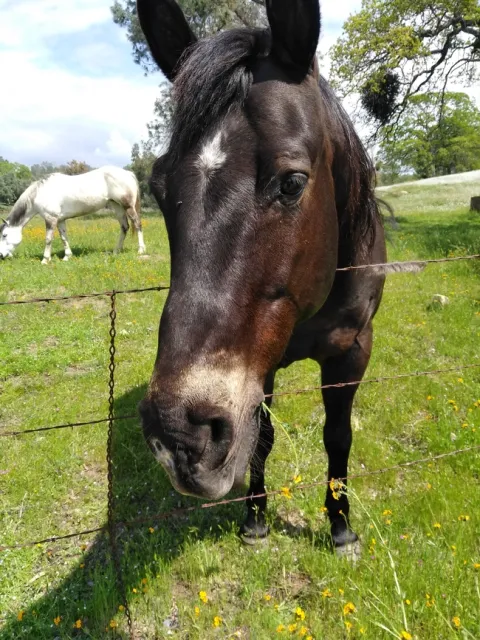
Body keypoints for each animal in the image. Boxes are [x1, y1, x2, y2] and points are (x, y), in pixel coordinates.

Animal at [0, 166, 146, 264]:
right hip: (118, 208)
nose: (1, 255)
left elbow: (48, 239)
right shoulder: (60, 220)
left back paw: (141, 250)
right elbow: (64, 238)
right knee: (124, 227)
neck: (40, 192)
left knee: (137, 224)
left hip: (128, 207)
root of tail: (128, 173)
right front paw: (67, 256)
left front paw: (45, 260)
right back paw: (116, 251)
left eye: (4, 235)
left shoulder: (50, 219)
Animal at [137, 0, 390, 557]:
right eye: (158, 188)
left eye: (292, 182)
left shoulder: (353, 351)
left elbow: (338, 436)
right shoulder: (260, 368)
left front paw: (341, 528)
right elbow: (262, 440)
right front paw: (255, 520)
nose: (179, 437)